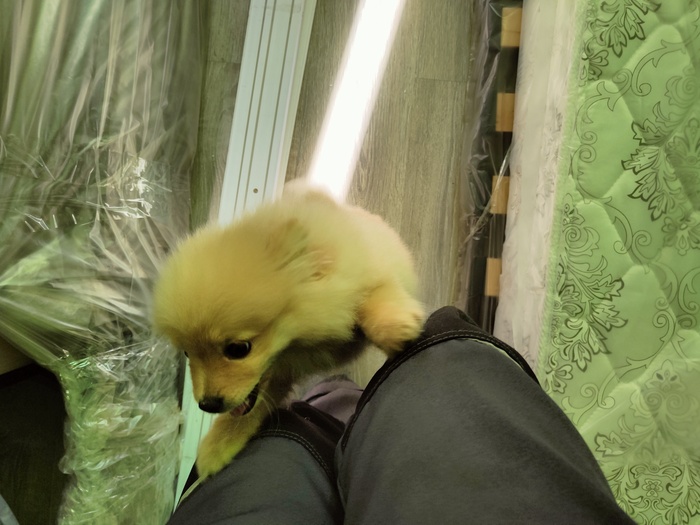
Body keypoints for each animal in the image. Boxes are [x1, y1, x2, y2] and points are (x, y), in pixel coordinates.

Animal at [152, 182, 424, 478]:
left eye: (238, 349)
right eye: (187, 353)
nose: (207, 405)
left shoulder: (365, 271)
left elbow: (375, 290)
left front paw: (394, 325)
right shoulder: (278, 373)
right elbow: (256, 405)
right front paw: (220, 443)